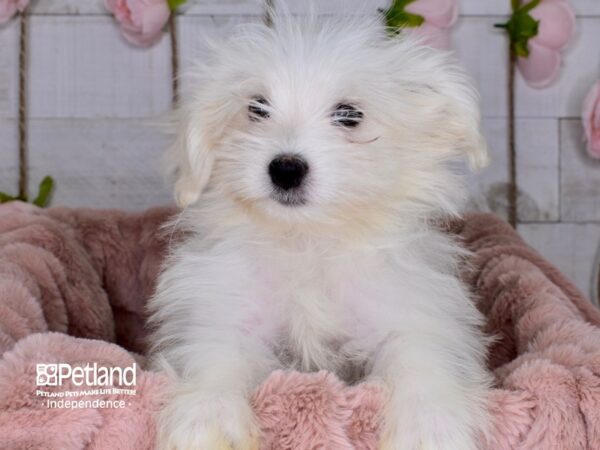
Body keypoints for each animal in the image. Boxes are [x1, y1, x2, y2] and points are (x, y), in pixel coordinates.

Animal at [148, 13, 490, 450]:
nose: (285, 169)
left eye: (349, 114)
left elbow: (419, 356)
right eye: (256, 108)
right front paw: (206, 417)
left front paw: (430, 426)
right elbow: (218, 356)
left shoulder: (407, 309)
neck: (309, 240)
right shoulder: (227, 309)